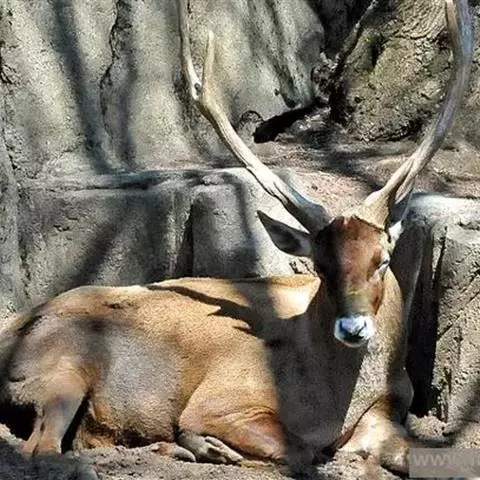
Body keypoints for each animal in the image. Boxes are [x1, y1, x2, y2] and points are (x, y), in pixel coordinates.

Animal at [0, 0, 473, 475]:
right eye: (320, 267)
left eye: (383, 259)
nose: (353, 327)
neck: (335, 402)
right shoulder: (221, 398)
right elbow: (297, 450)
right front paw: (204, 444)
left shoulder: (385, 415)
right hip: (63, 366)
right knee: (40, 448)